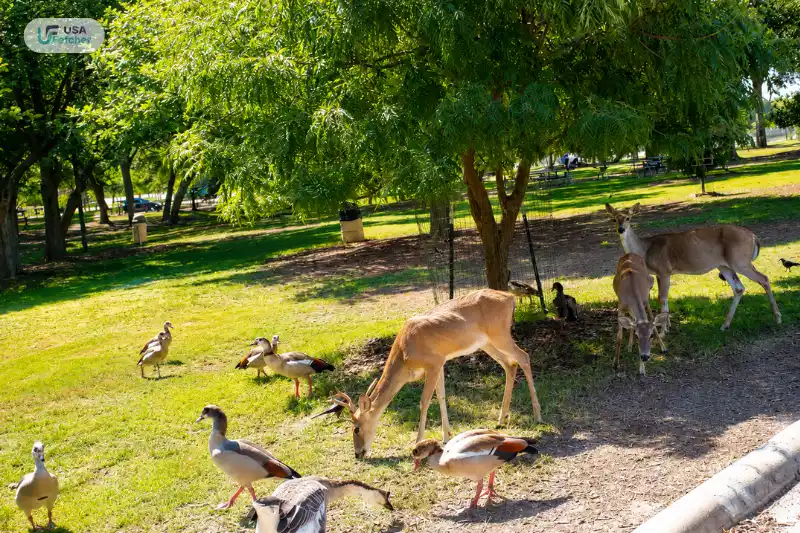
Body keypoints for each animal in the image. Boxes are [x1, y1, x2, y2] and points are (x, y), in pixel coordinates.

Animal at [316, 289, 542, 459]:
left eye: (355, 428)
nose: (358, 454)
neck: (405, 354)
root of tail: (510, 297)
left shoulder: (432, 363)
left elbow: (425, 401)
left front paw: (417, 442)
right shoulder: (440, 362)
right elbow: (441, 395)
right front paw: (447, 435)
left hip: (499, 334)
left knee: (523, 357)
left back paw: (537, 415)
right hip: (487, 342)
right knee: (510, 364)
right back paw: (502, 418)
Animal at [605, 203, 781, 332]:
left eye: (628, 217)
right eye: (614, 219)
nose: (621, 229)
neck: (645, 250)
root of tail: (754, 237)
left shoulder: (664, 269)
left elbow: (662, 298)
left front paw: (663, 330)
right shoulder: (659, 274)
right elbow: (664, 298)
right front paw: (667, 325)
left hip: (740, 261)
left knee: (764, 278)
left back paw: (778, 318)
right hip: (723, 265)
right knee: (739, 288)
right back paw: (724, 325)